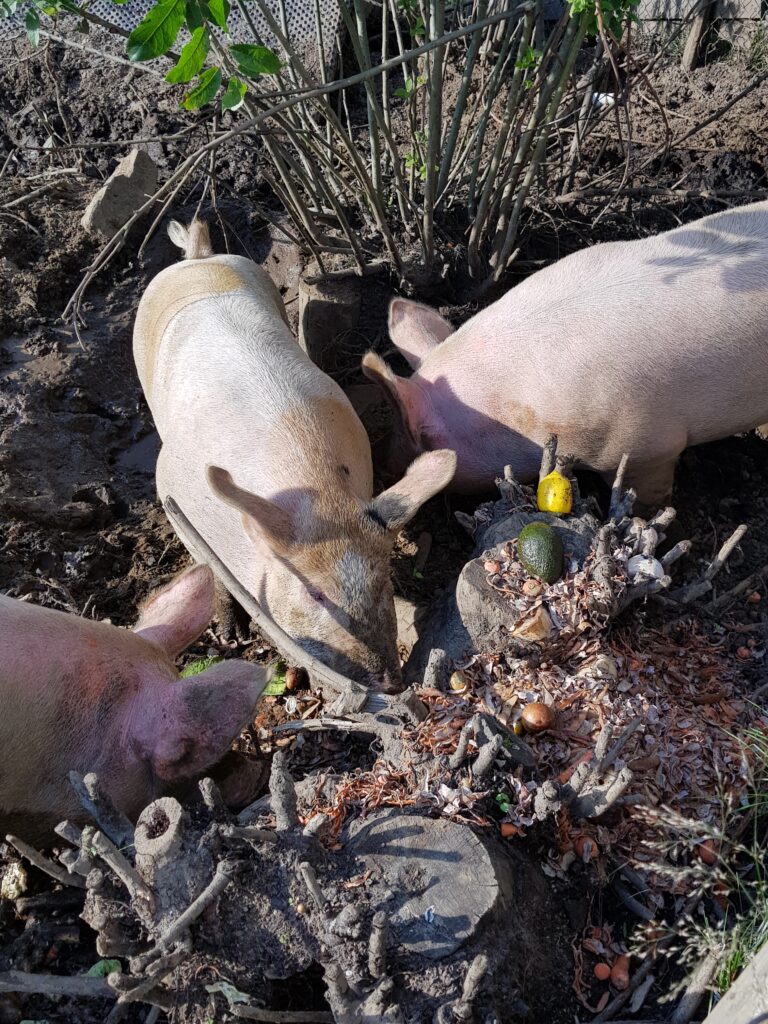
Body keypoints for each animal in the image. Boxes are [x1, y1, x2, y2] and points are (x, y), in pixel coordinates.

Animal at [134, 221, 456, 692]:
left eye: (383, 578)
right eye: (314, 593)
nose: (390, 683)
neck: (320, 493)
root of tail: (197, 258)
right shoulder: (170, 494)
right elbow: (207, 566)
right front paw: (230, 635)